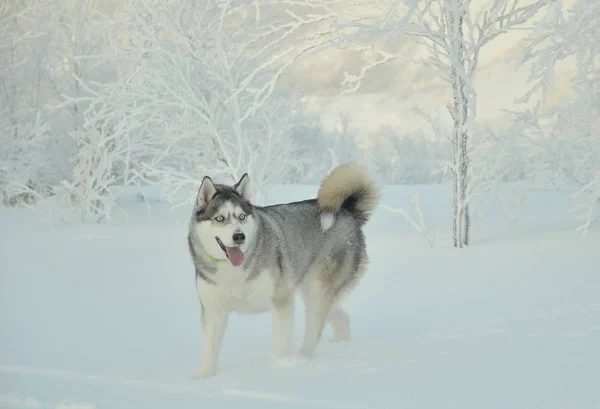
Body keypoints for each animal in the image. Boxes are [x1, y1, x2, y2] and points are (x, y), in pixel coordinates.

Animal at [188, 163, 380, 376]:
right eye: (220, 218)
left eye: (242, 216)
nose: (239, 237)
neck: (232, 271)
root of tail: (347, 212)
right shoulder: (213, 310)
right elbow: (209, 351)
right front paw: (205, 377)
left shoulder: (281, 300)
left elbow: (282, 342)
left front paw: (283, 368)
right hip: (312, 289)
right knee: (341, 318)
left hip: (317, 291)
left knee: (314, 330)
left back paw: (303, 359)